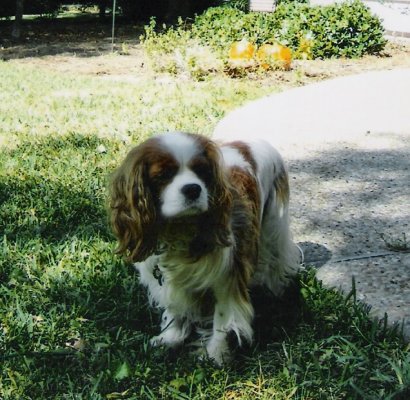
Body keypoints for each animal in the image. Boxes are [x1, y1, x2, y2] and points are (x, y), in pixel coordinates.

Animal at [109, 132, 300, 366]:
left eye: (201, 171)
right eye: (163, 175)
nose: (193, 188)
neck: (178, 230)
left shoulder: (227, 278)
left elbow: (223, 320)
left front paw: (215, 355)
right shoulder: (164, 277)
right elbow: (174, 307)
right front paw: (170, 337)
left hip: (274, 227)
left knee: (276, 263)